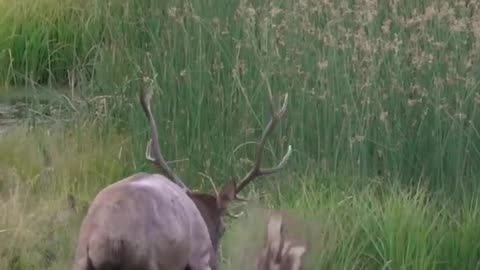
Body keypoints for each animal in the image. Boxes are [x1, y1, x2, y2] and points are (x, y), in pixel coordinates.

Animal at [69, 76, 290, 270]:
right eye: (223, 229)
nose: (216, 262)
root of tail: (111, 239)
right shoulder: (199, 255)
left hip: (80, 259)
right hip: (148, 261)